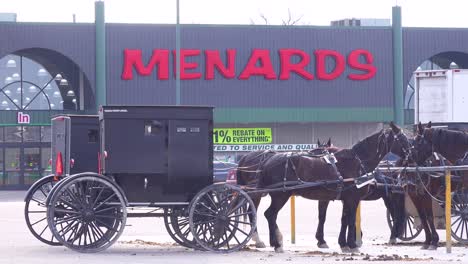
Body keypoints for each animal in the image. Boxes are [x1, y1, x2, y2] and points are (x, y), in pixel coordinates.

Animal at [258, 122, 412, 253]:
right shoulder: (352, 198)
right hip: (281, 196)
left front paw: (344, 244)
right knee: (270, 214)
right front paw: (352, 244)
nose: (411, 153)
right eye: (402, 138)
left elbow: (344, 219)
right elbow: (350, 219)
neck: (357, 162)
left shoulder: (346, 198)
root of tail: (268, 162)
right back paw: (277, 243)